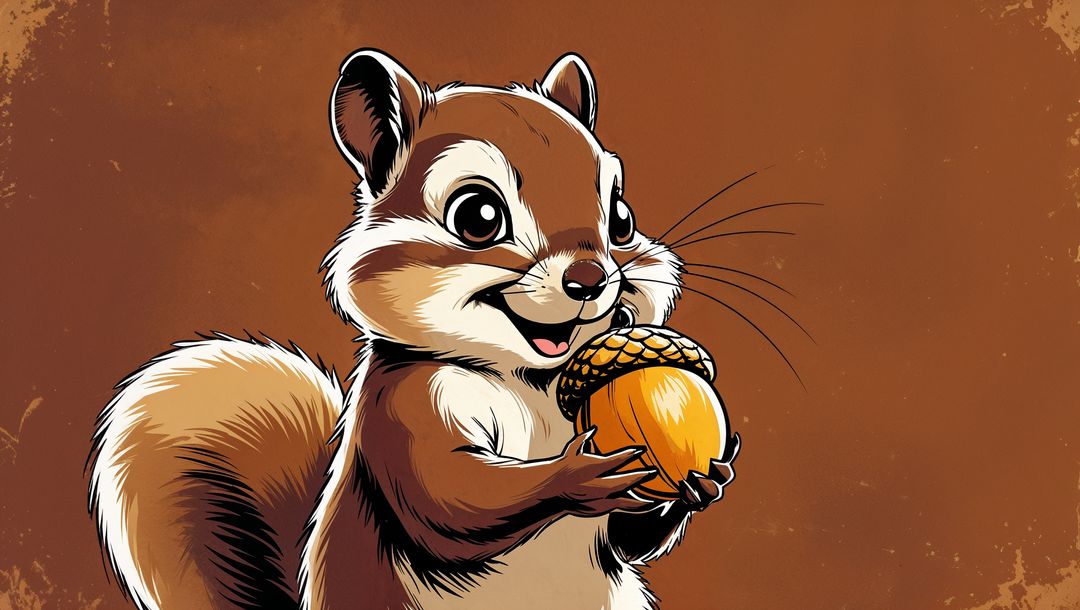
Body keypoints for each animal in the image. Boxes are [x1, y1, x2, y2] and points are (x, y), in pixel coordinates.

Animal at [87, 49, 738, 610]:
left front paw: (709, 475)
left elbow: (630, 541)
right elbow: (448, 500)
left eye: (621, 217)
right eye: (478, 216)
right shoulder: (402, 410)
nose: (591, 277)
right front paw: (575, 475)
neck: (532, 382)